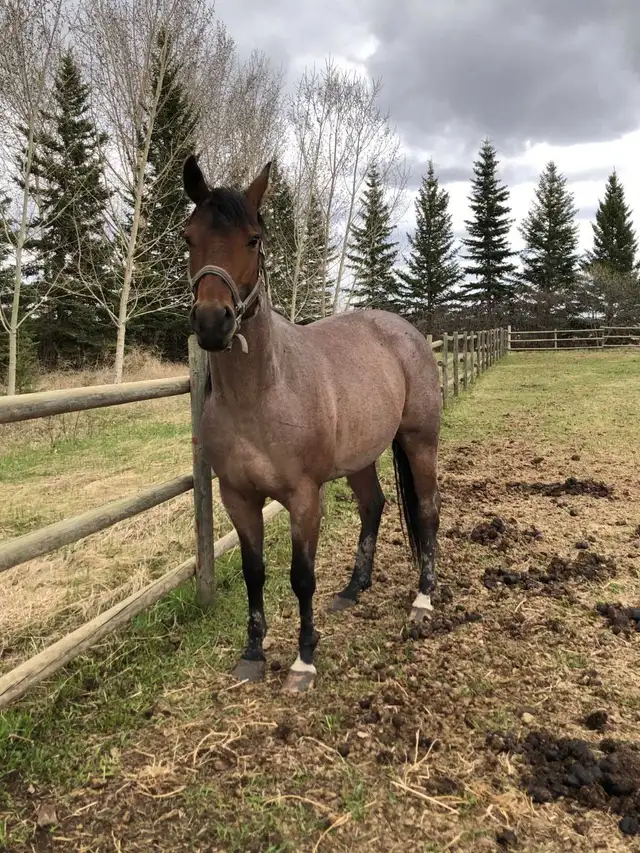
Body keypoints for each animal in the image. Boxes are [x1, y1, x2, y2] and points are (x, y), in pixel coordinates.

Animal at [183, 155, 442, 693]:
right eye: (188, 237)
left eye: (253, 239)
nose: (213, 323)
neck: (261, 394)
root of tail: (406, 331)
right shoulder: (237, 497)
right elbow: (254, 572)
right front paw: (253, 655)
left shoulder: (304, 497)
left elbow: (301, 576)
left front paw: (304, 660)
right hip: (362, 457)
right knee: (373, 506)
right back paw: (353, 588)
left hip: (420, 441)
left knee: (427, 513)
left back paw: (423, 601)